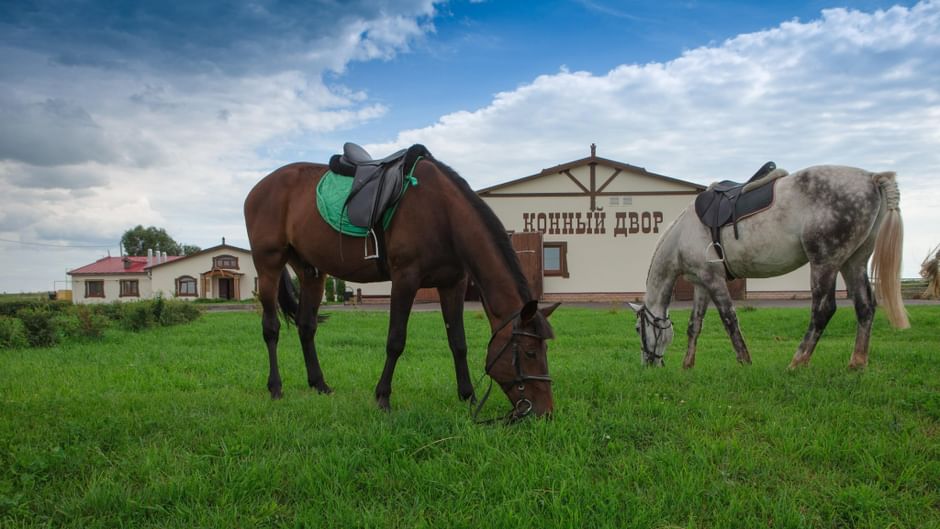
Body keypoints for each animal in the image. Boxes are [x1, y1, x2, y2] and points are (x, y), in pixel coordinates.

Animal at [246, 146, 560, 418]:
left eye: (545, 350)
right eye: (530, 352)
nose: (545, 412)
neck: (442, 212)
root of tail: (258, 188)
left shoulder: (453, 284)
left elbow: (458, 342)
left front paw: (468, 396)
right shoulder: (405, 279)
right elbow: (396, 340)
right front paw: (383, 397)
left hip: (311, 271)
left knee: (306, 326)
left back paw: (320, 385)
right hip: (269, 265)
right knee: (271, 328)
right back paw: (276, 388)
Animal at [632, 164, 912, 368]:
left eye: (637, 329)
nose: (649, 364)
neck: (683, 233)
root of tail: (872, 178)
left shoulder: (713, 280)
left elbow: (729, 319)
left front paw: (745, 361)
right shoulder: (701, 283)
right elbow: (695, 325)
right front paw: (687, 365)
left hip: (825, 263)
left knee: (823, 310)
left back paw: (797, 362)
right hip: (853, 262)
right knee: (865, 307)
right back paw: (857, 364)